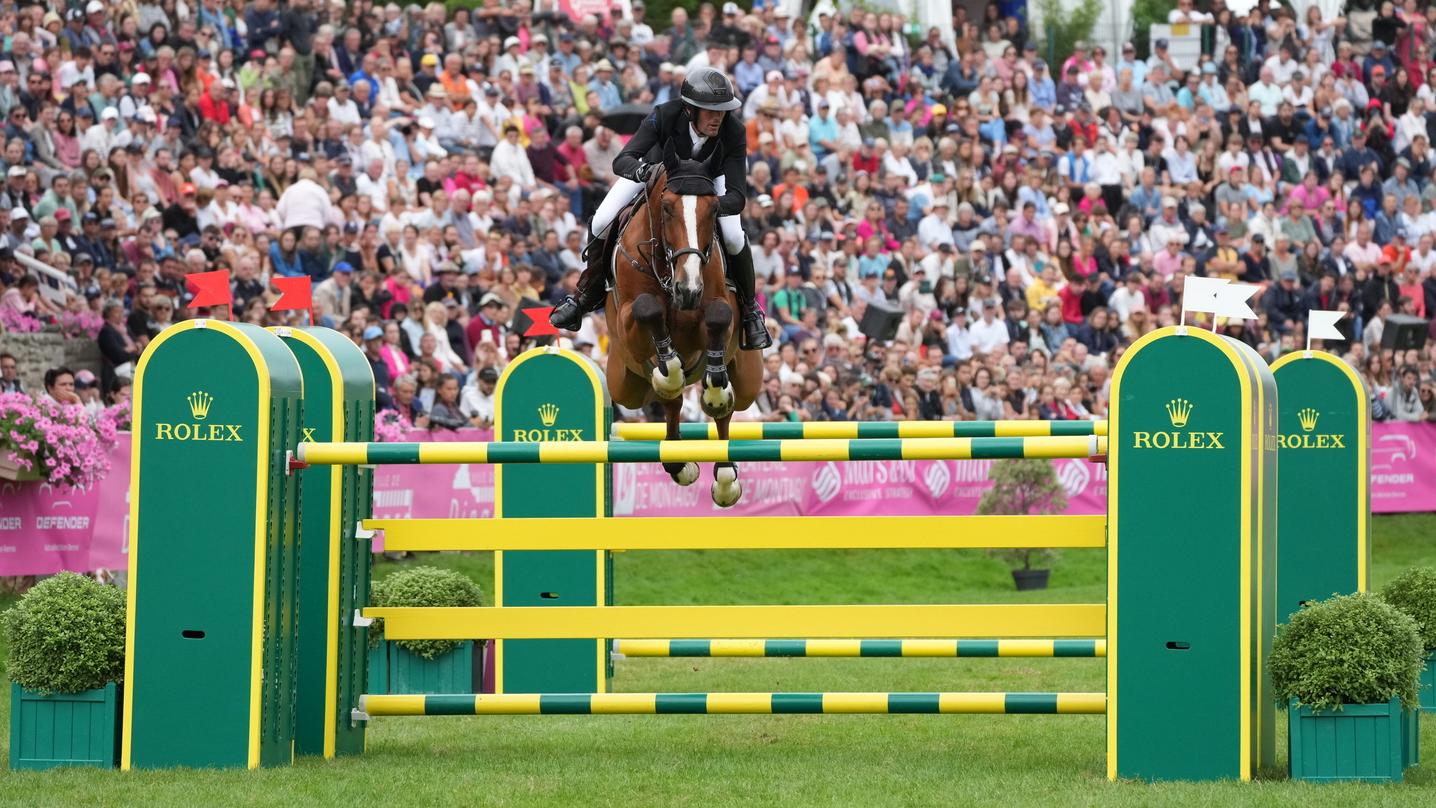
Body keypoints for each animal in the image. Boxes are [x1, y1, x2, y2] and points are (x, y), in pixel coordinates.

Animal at [603, 140, 763, 505]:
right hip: (623, 385)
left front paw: (715, 389)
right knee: (670, 404)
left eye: (713, 211)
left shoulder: (716, 310)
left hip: (749, 380)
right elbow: (648, 310)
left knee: (726, 412)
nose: (688, 289)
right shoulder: (629, 326)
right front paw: (671, 370)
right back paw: (679, 461)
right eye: (666, 208)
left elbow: (719, 317)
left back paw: (725, 476)